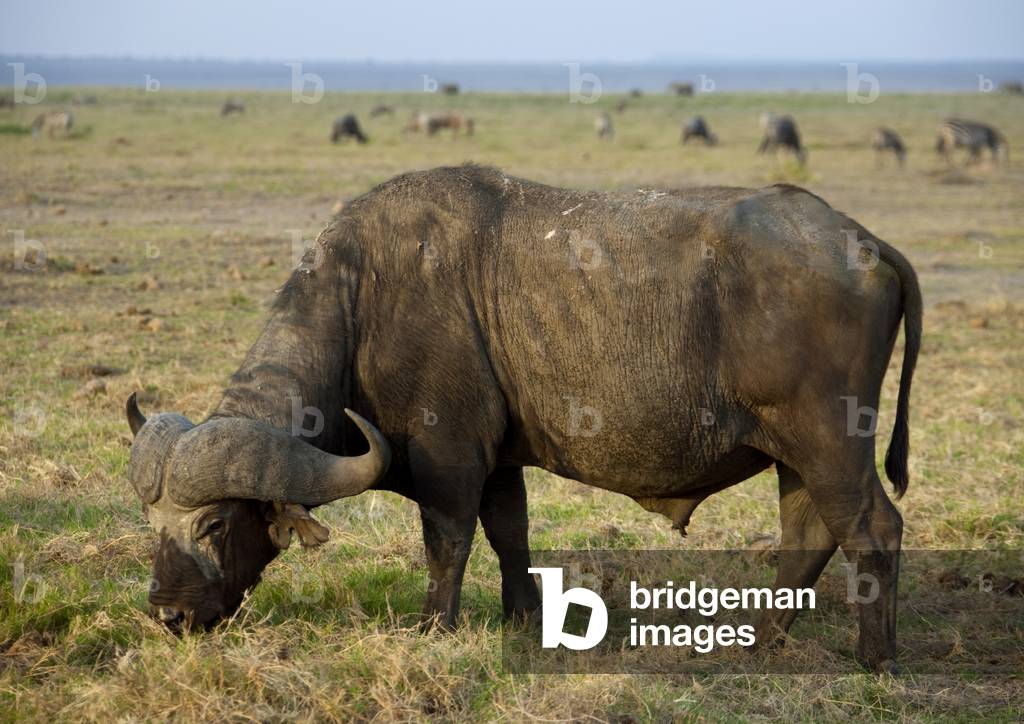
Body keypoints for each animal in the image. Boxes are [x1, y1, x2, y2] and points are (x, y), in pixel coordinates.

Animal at [126, 164, 920, 672]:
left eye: (215, 525)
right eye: (150, 524)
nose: (167, 614)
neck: (363, 300)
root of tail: (861, 241)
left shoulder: (448, 455)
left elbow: (447, 542)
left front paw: (433, 626)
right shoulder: (499, 461)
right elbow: (511, 534)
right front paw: (520, 617)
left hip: (831, 440)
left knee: (872, 530)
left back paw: (874, 658)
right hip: (795, 454)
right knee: (808, 535)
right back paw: (760, 641)